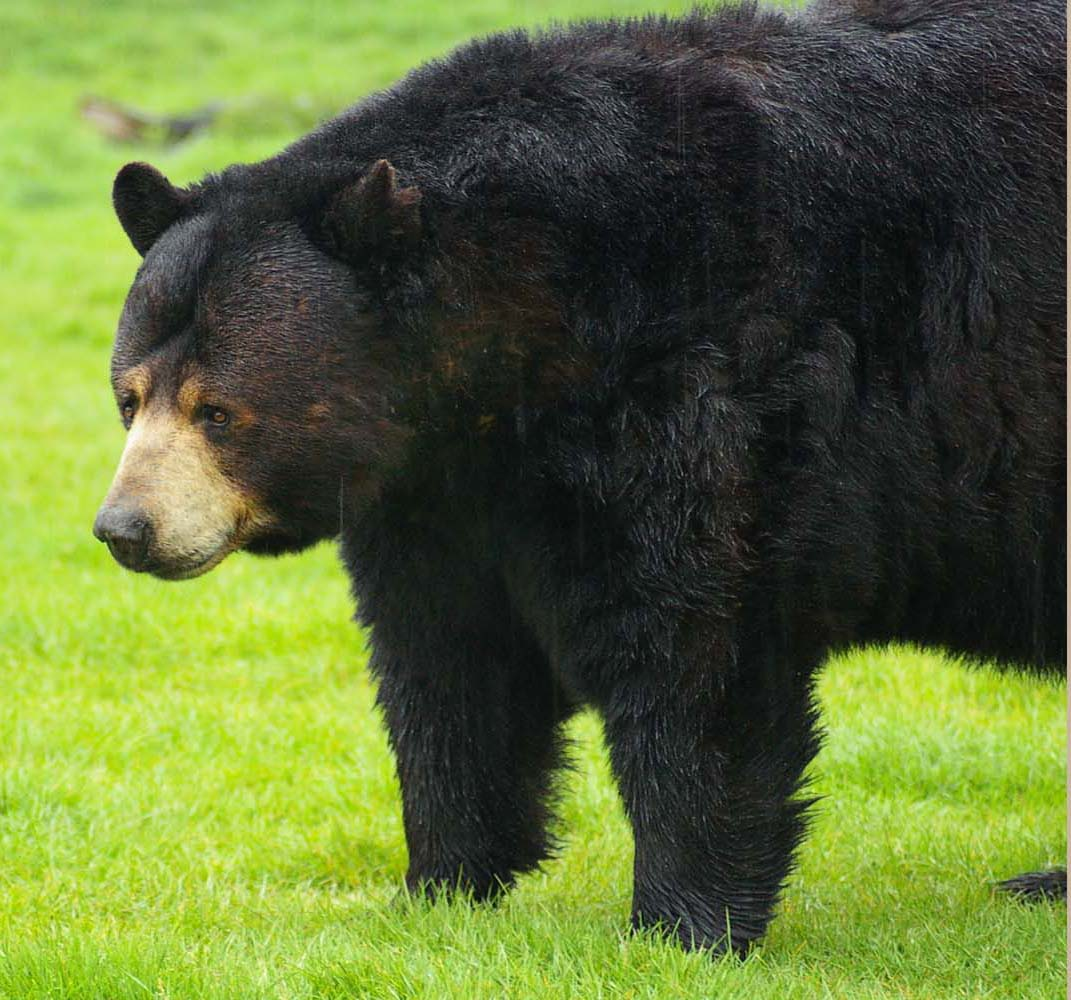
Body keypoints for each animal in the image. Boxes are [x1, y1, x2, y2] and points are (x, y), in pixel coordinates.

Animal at [96, 0, 1066, 955]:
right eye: (129, 396)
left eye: (218, 411)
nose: (124, 529)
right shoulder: (444, 484)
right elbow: (447, 662)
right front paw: (438, 887)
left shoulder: (700, 385)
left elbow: (692, 651)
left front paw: (680, 925)